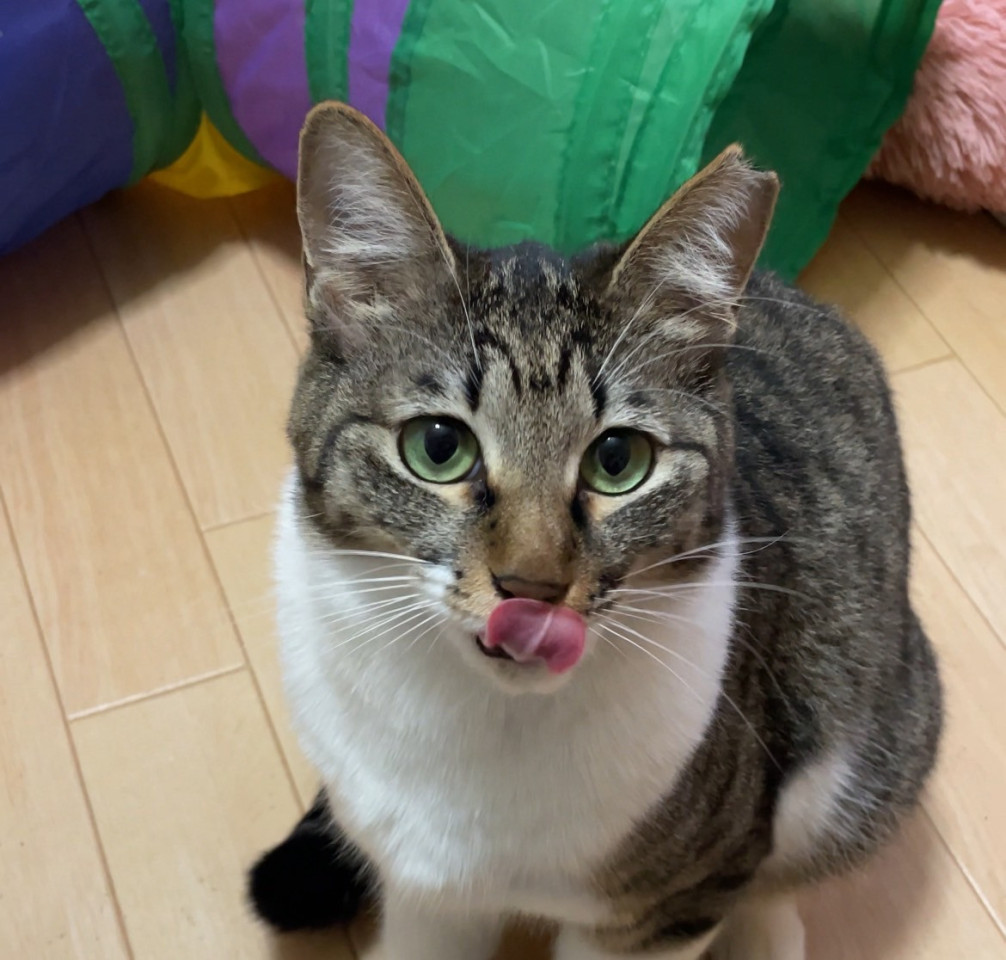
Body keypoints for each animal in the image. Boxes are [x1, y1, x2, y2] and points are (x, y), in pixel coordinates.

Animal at [248, 102, 942, 960]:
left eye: (619, 461)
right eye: (438, 447)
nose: (533, 586)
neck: (484, 727)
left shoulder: (662, 911)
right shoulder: (425, 891)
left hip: (874, 745)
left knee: (789, 871)